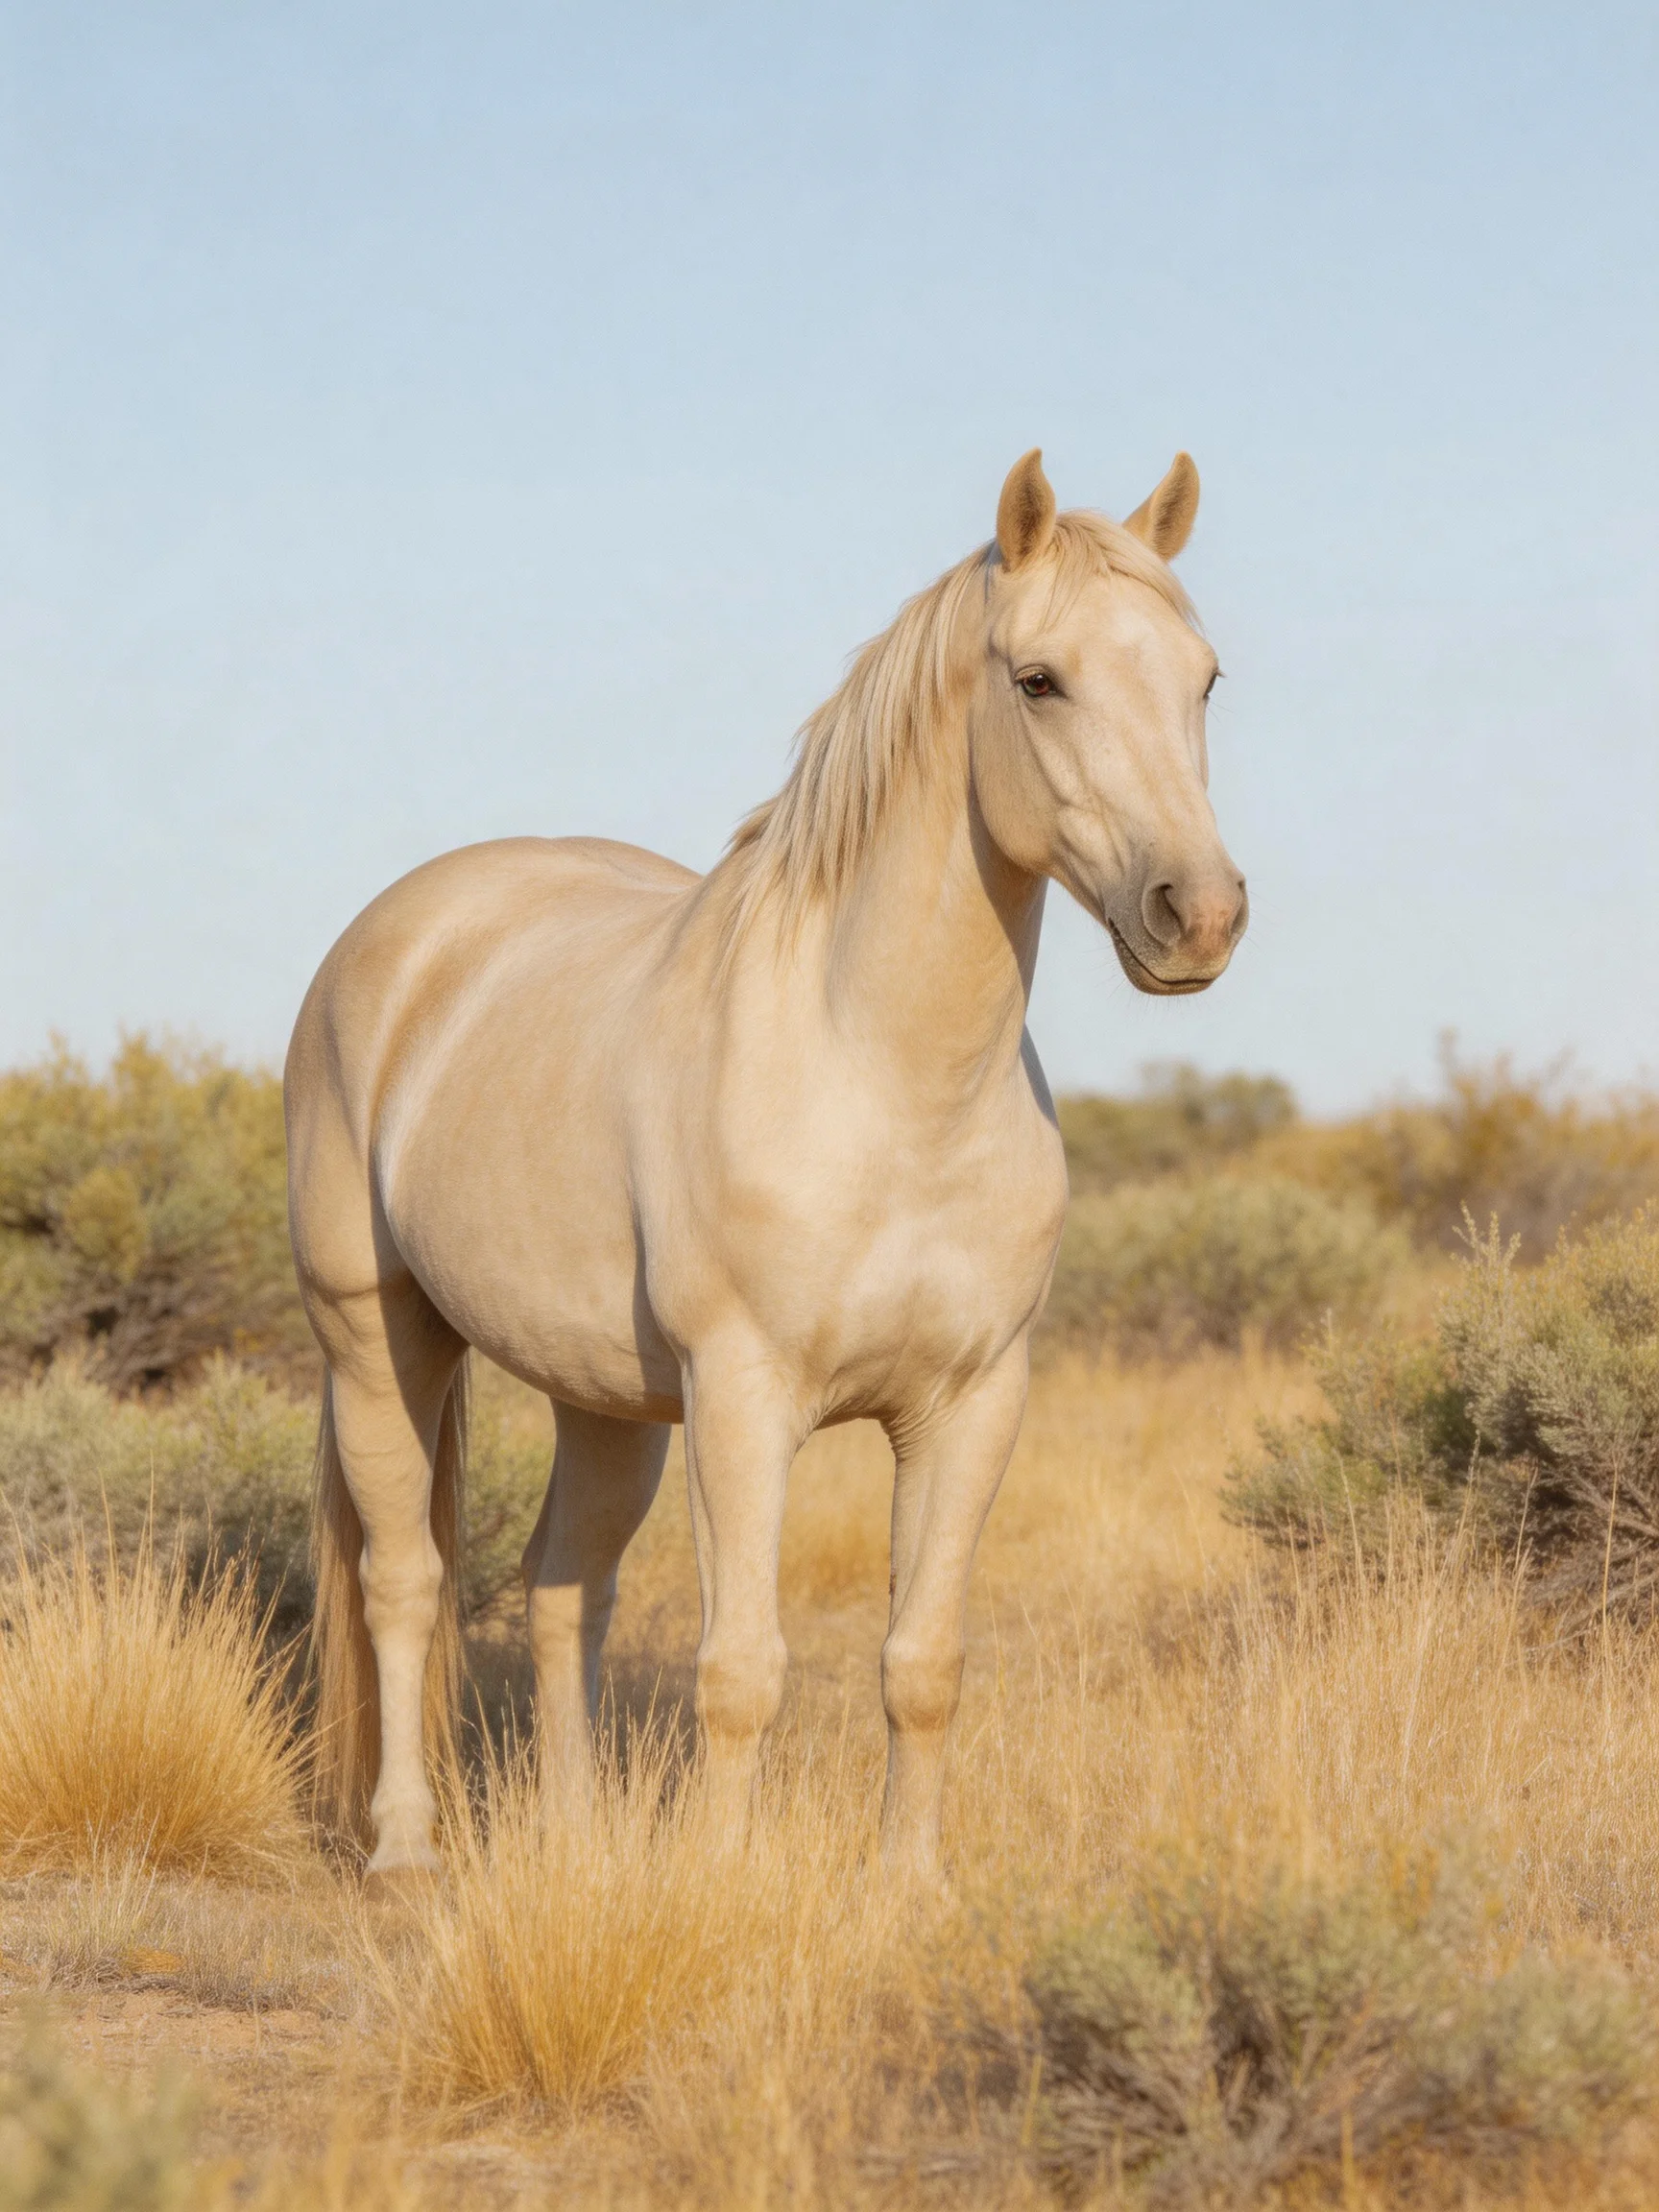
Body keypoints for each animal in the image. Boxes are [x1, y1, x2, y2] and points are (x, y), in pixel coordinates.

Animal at [285, 448, 1247, 1884]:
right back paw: (405, 1849)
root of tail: (395, 938)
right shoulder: (744, 1399)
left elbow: (923, 1662)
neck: (885, 1082)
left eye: (1205, 677)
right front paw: (719, 1883)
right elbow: (741, 1669)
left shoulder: (972, 1404)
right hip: (378, 1338)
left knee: (564, 1588)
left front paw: (909, 1884)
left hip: (610, 1402)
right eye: (1040, 680)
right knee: (402, 1580)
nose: (1199, 917)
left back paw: (577, 1845)